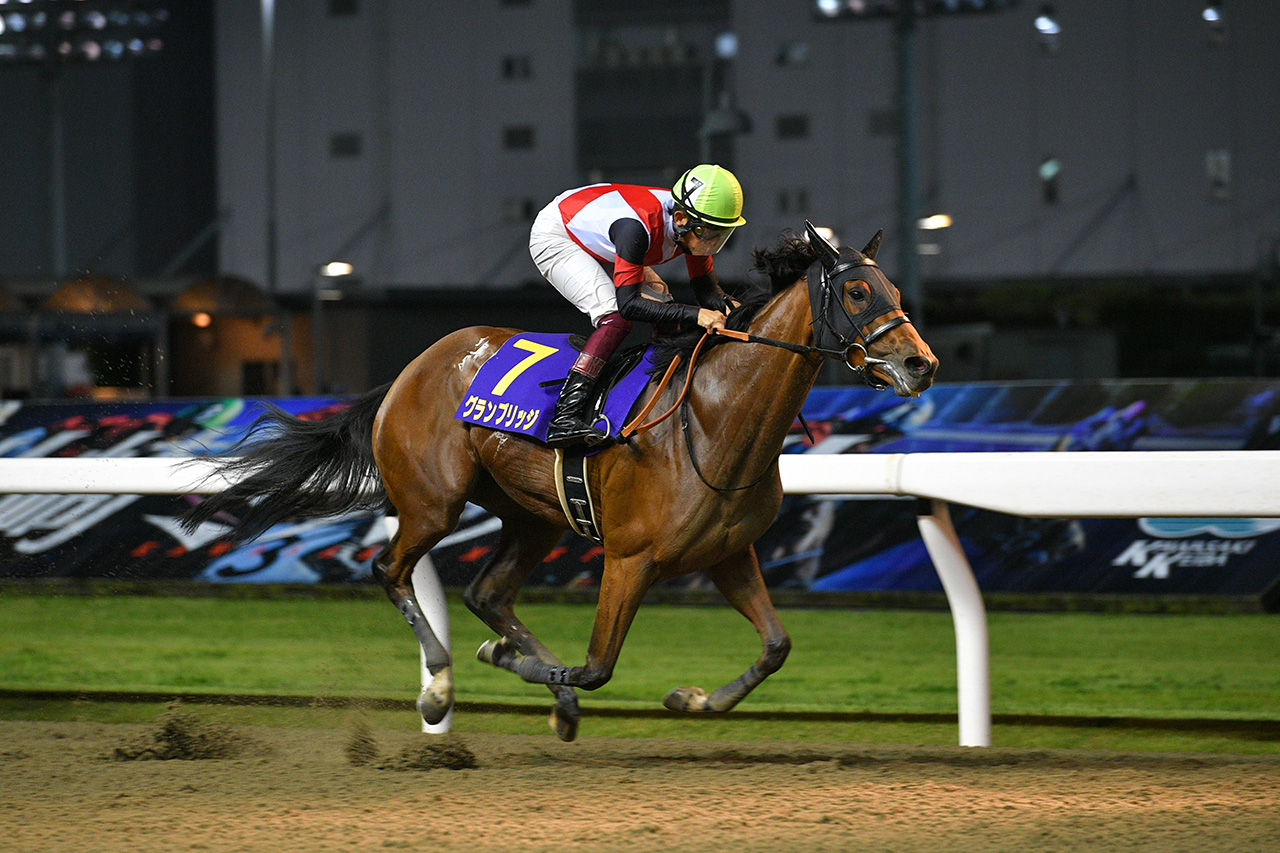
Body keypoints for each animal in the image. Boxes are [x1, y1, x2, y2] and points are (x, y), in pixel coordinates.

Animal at [183, 223, 938, 742]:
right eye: (858, 290)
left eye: (897, 291)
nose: (921, 364)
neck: (712, 416)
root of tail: (409, 370)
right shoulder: (630, 558)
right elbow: (598, 664)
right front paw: (527, 674)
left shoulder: (727, 552)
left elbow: (777, 646)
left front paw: (692, 699)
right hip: (432, 503)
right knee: (391, 570)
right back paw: (441, 684)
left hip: (533, 516)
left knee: (488, 593)